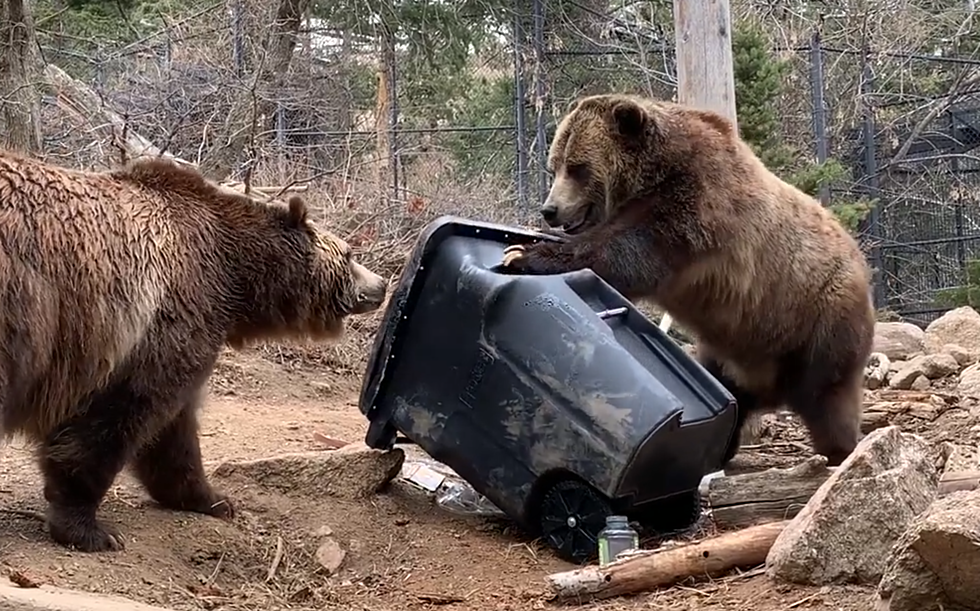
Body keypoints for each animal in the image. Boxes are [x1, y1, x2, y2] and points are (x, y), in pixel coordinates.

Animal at [0, 151, 388, 552]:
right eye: (350, 255)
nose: (382, 284)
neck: (236, 274)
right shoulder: (159, 321)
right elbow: (114, 419)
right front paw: (92, 529)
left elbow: (173, 433)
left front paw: (212, 499)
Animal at [502, 93, 876, 470]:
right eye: (554, 165)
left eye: (578, 167)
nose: (550, 210)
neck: (651, 174)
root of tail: (863, 268)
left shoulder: (696, 206)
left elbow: (626, 252)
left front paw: (522, 254)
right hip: (736, 350)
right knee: (731, 393)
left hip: (817, 318)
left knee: (826, 395)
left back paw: (840, 449)